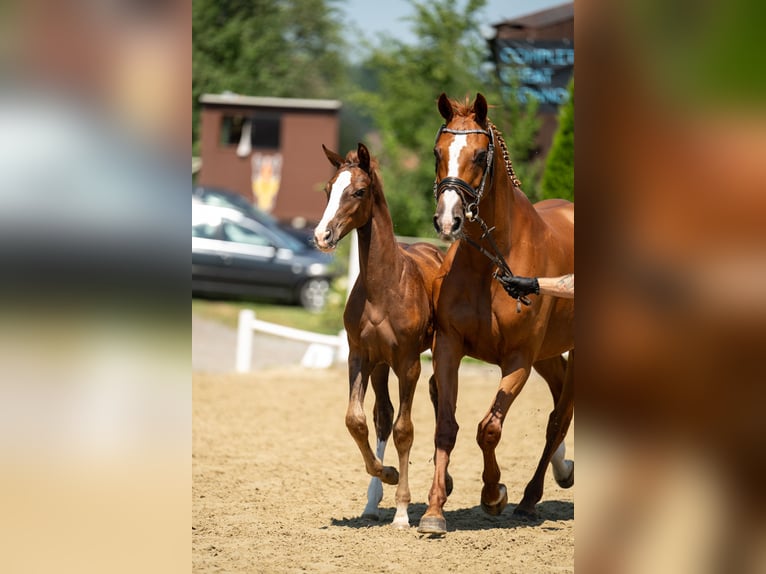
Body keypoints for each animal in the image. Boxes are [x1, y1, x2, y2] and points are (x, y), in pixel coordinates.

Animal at [313, 142, 445, 529]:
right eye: (328, 189)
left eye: (358, 191)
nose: (322, 236)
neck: (384, 287)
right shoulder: (359, 356)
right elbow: (357, 420)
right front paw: (386, 474)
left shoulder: (409, 363)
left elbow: (405, 430)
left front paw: (401, 511)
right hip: (381, 366)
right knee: (382, 416)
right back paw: (373, 501)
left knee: (436, 401)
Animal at [417, 93, 575, 535]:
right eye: (437, 152)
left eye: (479, 153)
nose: (448, 220)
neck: (489, 263)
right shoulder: (449, 346)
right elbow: (446, 425)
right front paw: (434, 511)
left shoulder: (518, 359)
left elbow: (488, 428)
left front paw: (493, 494)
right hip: (549, 354)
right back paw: (560, 473)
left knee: (559, 418)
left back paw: (529, 498)